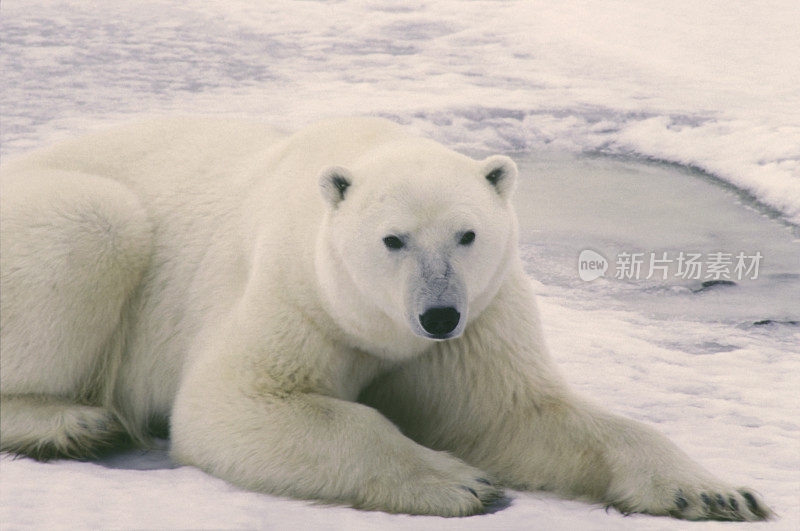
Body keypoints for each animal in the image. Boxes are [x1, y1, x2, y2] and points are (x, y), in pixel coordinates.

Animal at [0, 116, 772, 520]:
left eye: (467, 234)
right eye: (392, 239)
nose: (437, 312)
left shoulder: (479, 323)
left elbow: (519, 413)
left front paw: (717, 491)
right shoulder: (296, 290)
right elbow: (240, 401)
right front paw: (462, 483)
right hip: (70, 218)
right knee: (95, 226)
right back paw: (71, 423)